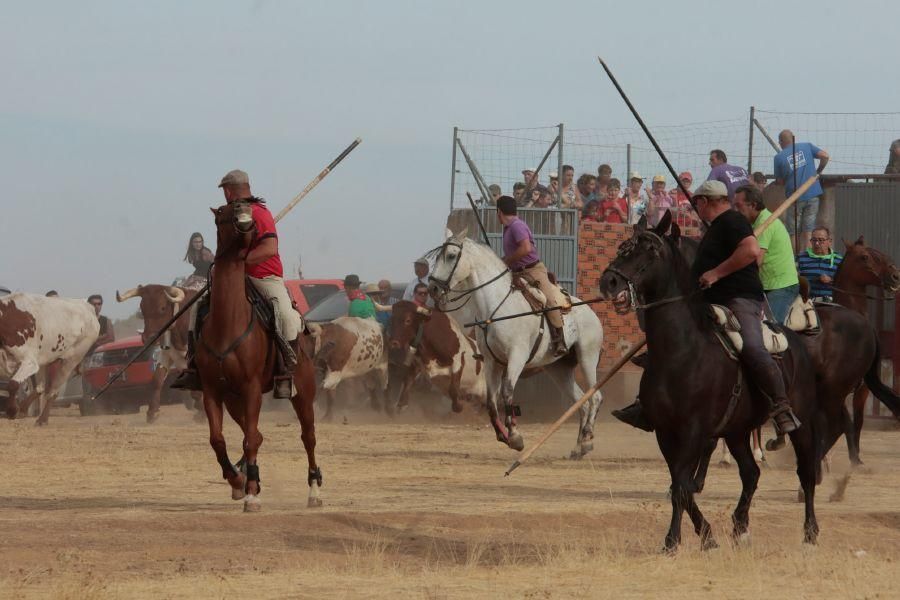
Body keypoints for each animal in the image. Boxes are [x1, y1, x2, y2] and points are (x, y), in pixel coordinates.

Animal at [0, 292, 100, 424]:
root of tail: (88, 307)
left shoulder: (29, 362)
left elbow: (12, 384)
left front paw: (11, 411)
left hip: (71, 360)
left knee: (53, 391)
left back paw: (42, 419)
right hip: (44, 360)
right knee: (40, 387)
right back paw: (23, 409)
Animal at [116, 284, 200, 422]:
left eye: (162, 308)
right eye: (142, 308)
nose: (149, 338)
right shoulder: (166, 354)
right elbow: (157, 379)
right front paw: (152, 412)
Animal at [197, 202, 320, 510]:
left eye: (250, 213)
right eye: (223, 213)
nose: (244, 213)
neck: (228, 322)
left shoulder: (251, 387)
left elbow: (250, 439)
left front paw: (251, 493)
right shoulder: (212, 390)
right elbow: (218, 439)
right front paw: (238, 481)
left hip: (303, 392)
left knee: (308, 436)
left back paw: (314, 491)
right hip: (232, 399)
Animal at [428, 227, 604, 458]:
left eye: (450, 256)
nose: (432, 288)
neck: (496, 306)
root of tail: (591, 312)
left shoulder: (516, 357)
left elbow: (507, 391)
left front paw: (515, 436)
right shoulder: (491, 362)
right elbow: (491, 401)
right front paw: (503, 436)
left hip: (587, 357)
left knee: (595, 397)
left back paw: (587, 439)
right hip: (559, 369)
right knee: (581, 402)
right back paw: (578, 445)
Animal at [596, 213, 824, 552]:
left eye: (650, 249)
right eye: (624, 246)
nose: (609, 282)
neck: (682, 352)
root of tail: (796, 340)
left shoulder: (694, 430)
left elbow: (681, 486)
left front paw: (672, 541)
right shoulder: (665, 432)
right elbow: (680, 485)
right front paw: (706, 535)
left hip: (803, 423)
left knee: (806, 472)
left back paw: (810, 532)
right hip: (737, 430)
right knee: (751, 473)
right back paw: (740, 525)